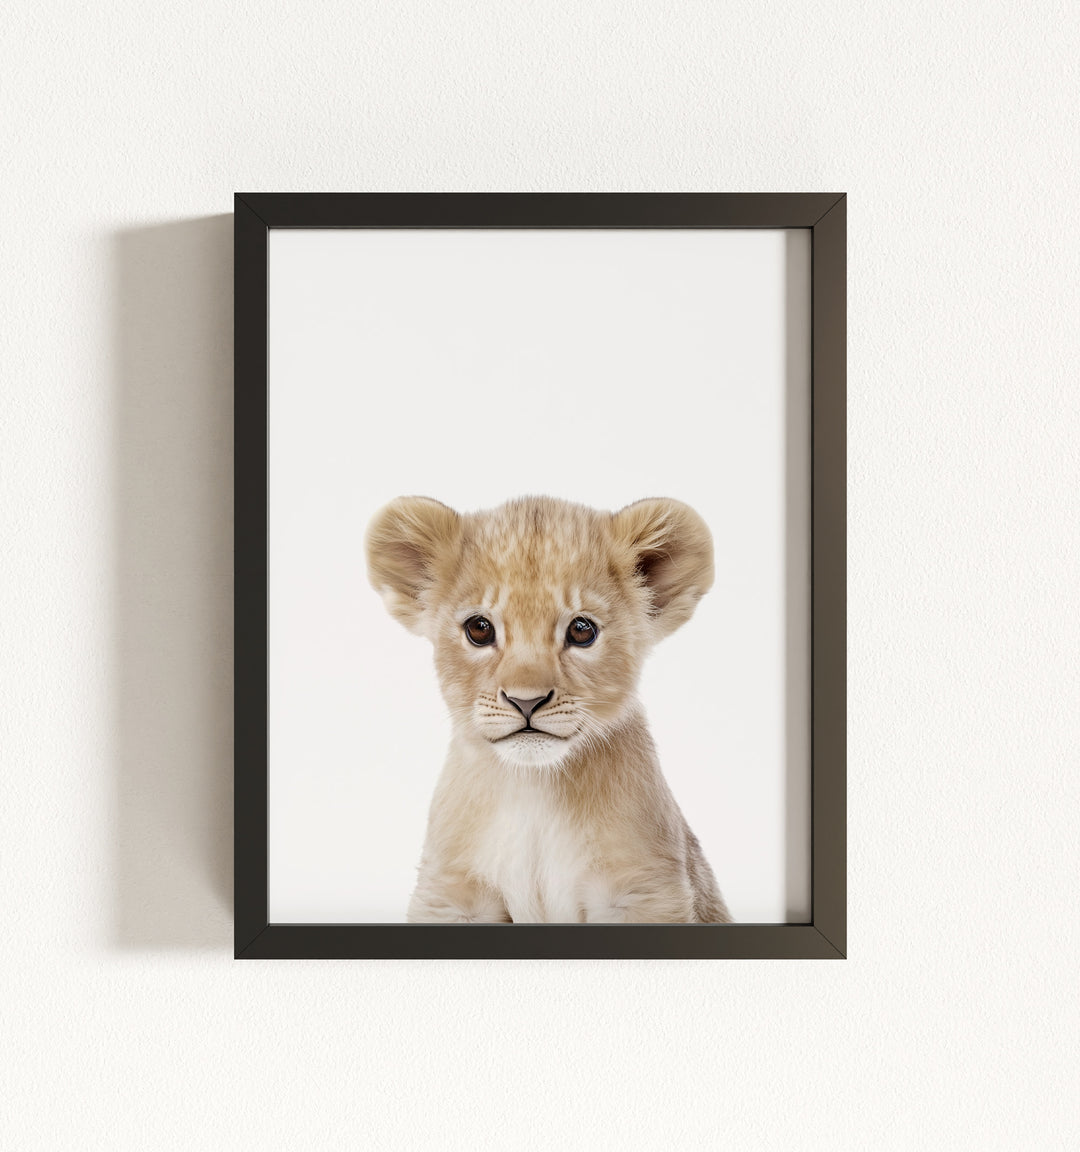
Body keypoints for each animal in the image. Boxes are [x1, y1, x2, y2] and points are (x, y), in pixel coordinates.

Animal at [365, 494, 732, 924]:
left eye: (581, 630)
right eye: (479, 629)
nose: (526, 701)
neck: (534, 789)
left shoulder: (643, 890)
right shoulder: (451, 895)